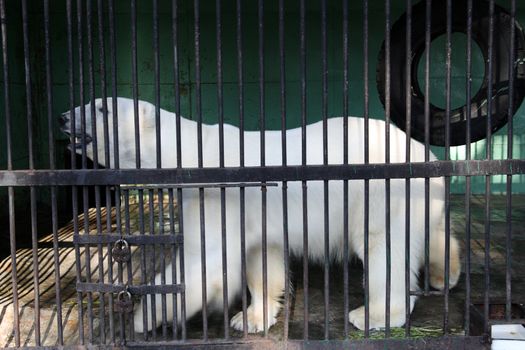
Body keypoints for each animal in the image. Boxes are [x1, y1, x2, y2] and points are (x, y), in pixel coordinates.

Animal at [60, 97, 458, 332]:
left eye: (101, 109)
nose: (63, 117)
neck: (192, 155)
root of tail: (425, 152)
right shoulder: (253, 213)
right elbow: (261, 259)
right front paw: (250, 318)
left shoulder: (216, 196)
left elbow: (204, 261)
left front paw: (143, 317)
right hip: (423, 197)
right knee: (434, 230)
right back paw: (445, 275)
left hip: (381, 191)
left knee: (383, 248)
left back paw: (373, 314)